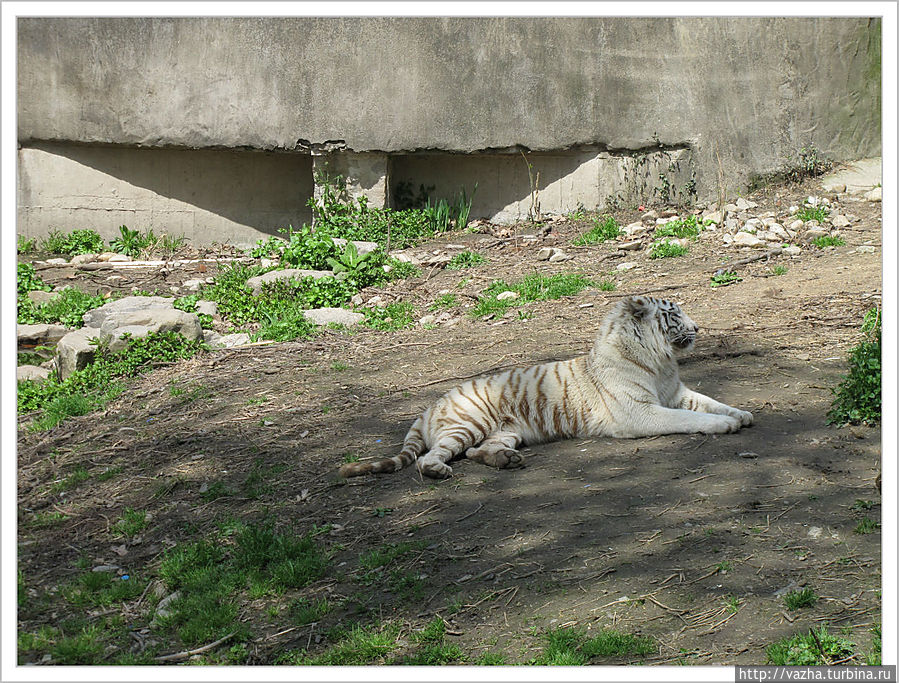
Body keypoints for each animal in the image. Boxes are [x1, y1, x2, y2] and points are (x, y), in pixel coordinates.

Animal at [342, 296, 756, 480]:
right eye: (674, 314)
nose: (698, 327)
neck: (660, 362)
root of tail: (427, 407)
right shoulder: (641, 412)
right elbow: (687, 418)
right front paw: (724, 425)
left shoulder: (675, 393)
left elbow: (710, 401)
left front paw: (742, 414)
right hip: (468, 422)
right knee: (430, 457)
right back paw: (439, 471)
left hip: (505, 432)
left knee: (477, 451)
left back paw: (506, 461)